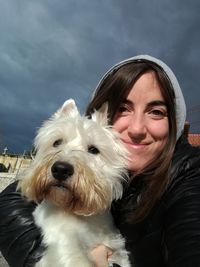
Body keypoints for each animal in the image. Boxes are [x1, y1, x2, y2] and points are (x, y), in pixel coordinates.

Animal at [17, 99, 131, 266]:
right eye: (57, 142)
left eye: (94, 150)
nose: (60, 169)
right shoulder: (62, 243)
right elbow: (75, 257)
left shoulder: (116, 248)